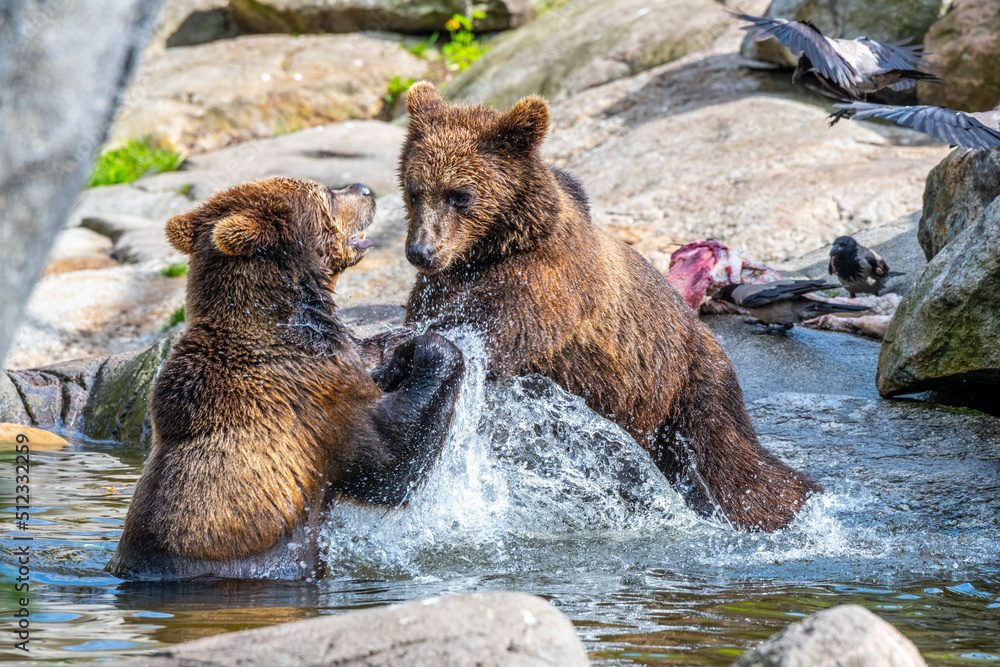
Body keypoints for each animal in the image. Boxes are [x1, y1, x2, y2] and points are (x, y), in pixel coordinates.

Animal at [107, 177, 464, 580]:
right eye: (328, 193)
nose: (364, 189)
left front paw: (401, 348)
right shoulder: (313, 404)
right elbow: (390, 462)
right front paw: (433, 346)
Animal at [397, 83, 821, 532]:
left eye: (460, 195)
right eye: (413, 189)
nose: (421, 251)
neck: (488, 252)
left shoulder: (551, 282)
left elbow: (492, 321)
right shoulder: (441, 285)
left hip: (687, 386)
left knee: (731, 464)